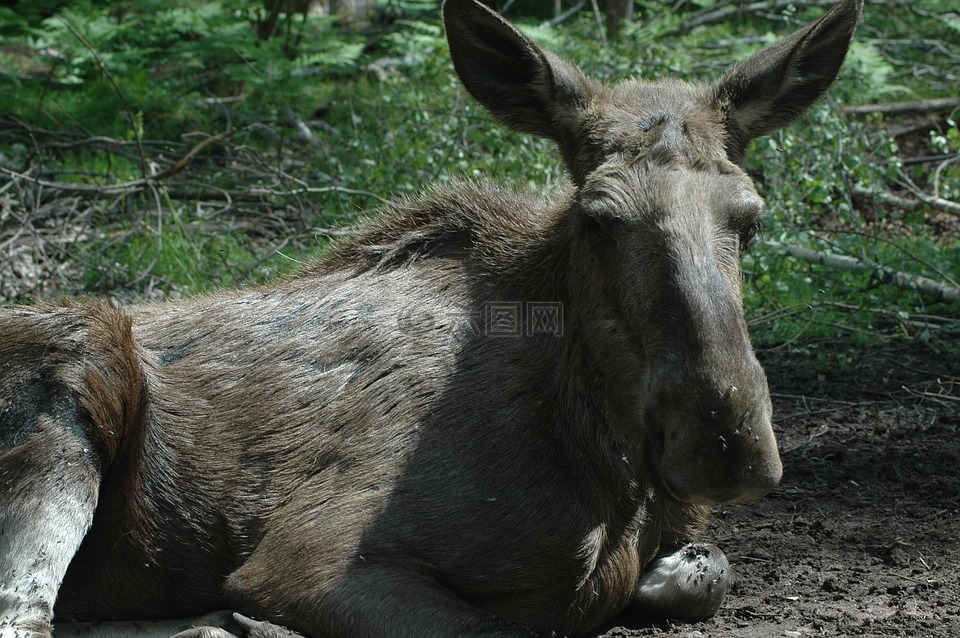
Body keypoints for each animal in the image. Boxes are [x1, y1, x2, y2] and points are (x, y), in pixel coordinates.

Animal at [0, 0, 868, 636]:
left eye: (750, 218)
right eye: (599, 218)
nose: (726, 442)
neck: (605, 456)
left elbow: (706, 573)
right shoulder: (307, 558)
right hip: (76, 357)